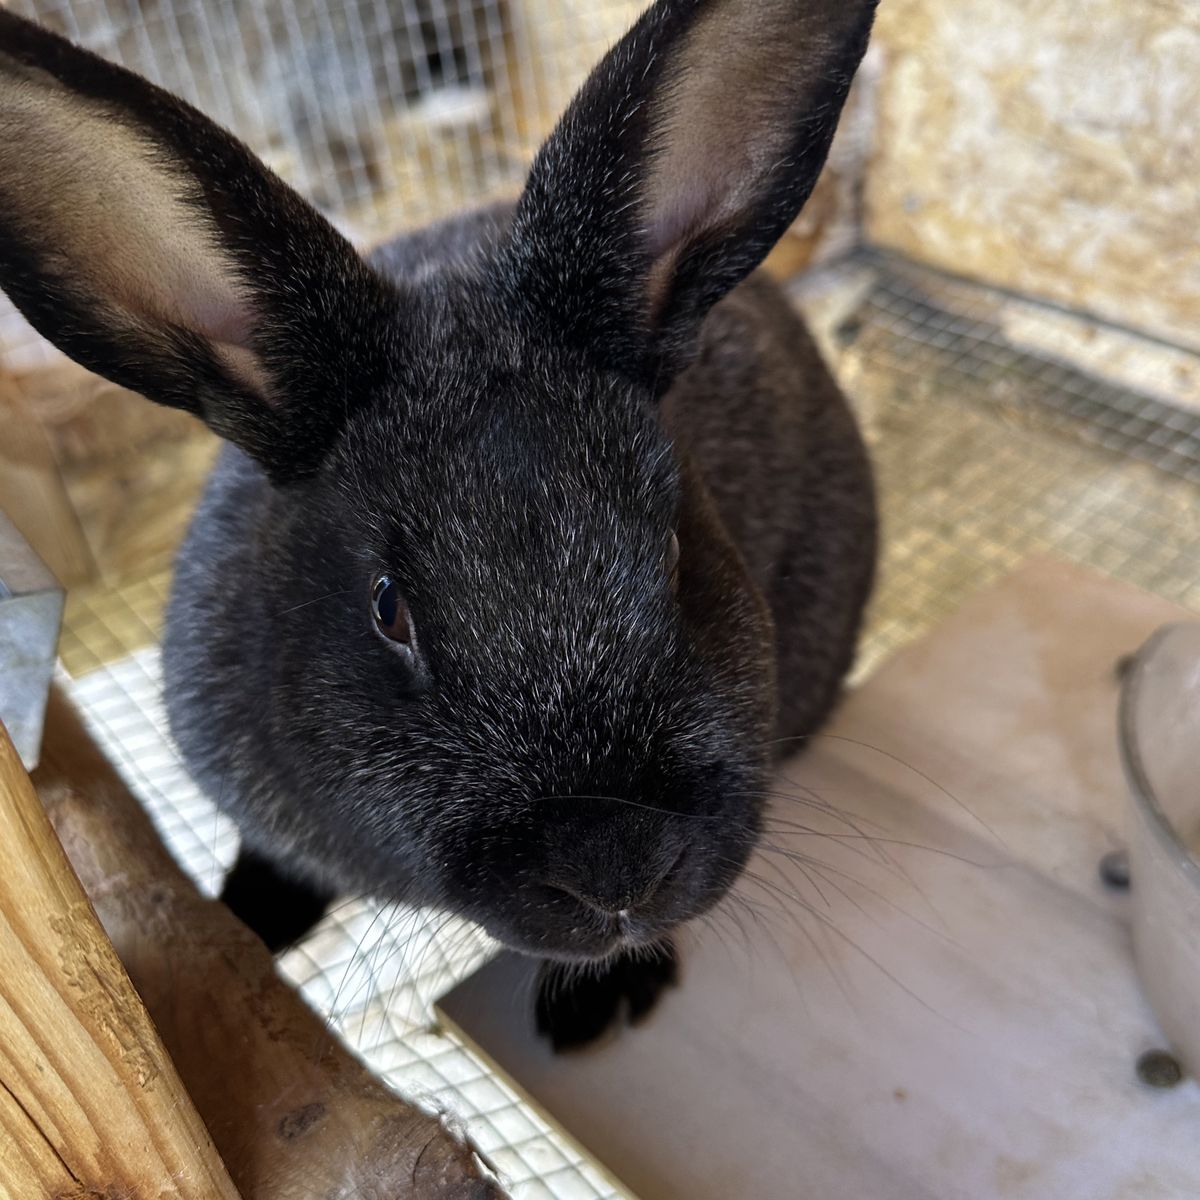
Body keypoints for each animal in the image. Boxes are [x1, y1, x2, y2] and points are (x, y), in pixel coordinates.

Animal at [0, 0, 878, 1050]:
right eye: (388, 608)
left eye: (675, 549)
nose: (617, 871)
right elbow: (270, 859)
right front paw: (239, 919)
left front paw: (594, 1000)